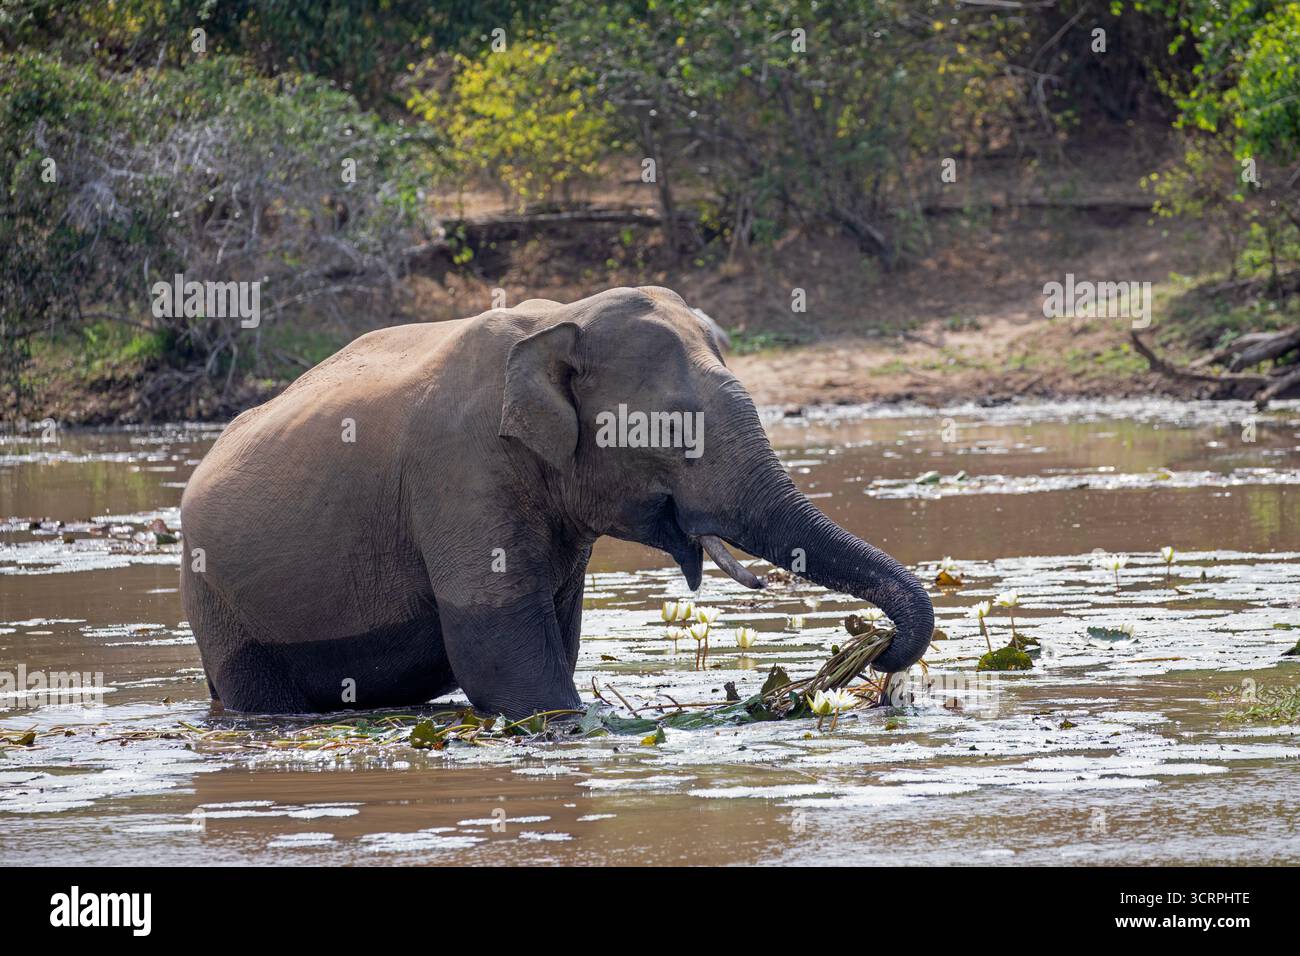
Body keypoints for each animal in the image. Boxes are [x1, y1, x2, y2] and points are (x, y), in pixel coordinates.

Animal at [180, 287, 934, 718]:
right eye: (673, 433)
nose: (880, 656)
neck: (557, 322)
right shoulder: (460, 472)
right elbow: (504, 659)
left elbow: (556, 638)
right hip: (214, 594)